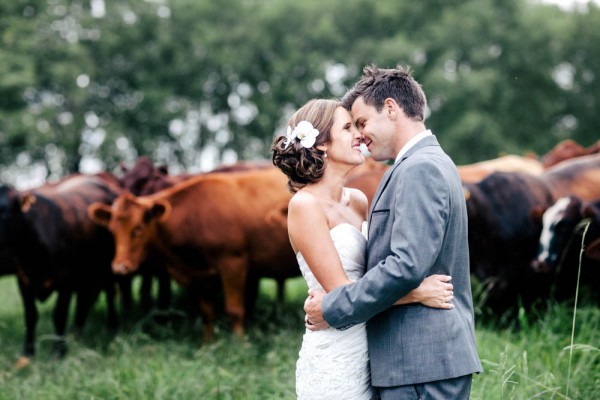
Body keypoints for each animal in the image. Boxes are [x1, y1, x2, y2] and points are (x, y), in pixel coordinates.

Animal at [0, 173, 120, 368]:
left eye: (3, 211)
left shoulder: (65, 281)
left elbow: (59, 314)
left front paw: (59, 352)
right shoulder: (23, 280)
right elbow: (31, 316)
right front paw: (27, 355)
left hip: (106, 266)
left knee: (109, 294)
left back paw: (112, 328)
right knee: (85, 301)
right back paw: (76, 332)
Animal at [88, 169, 296, 340]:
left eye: (138, 229)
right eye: (112, 230)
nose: (119, 267)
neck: (196, 215)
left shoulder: (233, 263)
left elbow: (234, 310)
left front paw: (240, 345)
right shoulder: (199, 277)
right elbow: (206, 312)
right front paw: (208, 345)